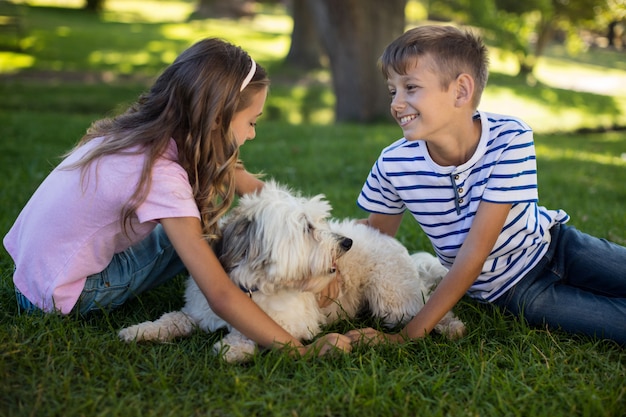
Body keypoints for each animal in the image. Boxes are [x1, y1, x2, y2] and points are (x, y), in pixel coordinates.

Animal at [119, 181, 466, 360]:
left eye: (320, 221)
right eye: (307, 227)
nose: (347, 242)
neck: (254, 285)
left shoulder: (295, 322)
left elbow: (254, 330)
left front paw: (233, 348)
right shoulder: (199, 311)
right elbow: (173, 319)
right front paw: (140, 331)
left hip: (391, 301)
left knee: (428, 311)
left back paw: (451, 327)